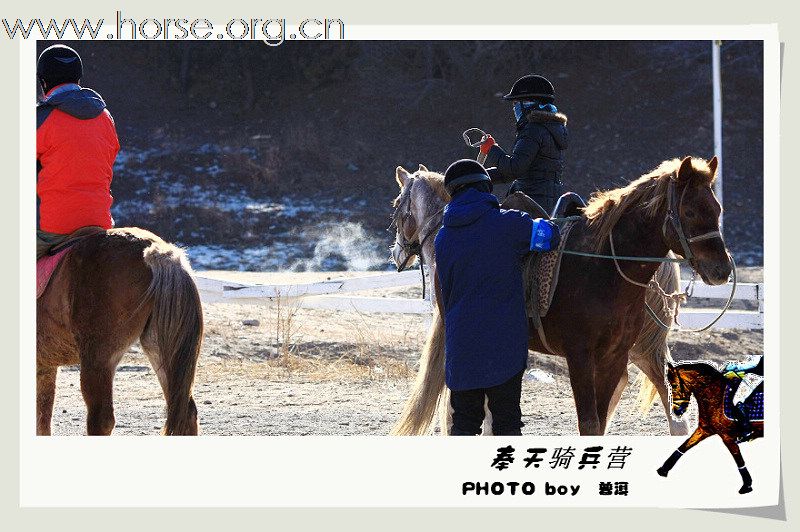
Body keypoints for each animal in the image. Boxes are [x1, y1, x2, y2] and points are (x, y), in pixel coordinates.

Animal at [37, 227, 203, 434]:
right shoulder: (45, 367)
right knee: (186, 412)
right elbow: (43, 419)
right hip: (161, 349)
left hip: (98, 358)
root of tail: (155, 251)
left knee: (101, 419)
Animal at [390, 156, 732, 434]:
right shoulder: (589, 356)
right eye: (690, 210)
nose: (722, 269)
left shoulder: (595, 356)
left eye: (716, 210)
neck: (603, 264)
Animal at [656, 362, 764, 494]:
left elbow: (739, 460)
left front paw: (747, 485)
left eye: (675, 385)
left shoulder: (727, 437)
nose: (677, 411)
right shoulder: (704, 429)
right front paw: (663, 469)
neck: (716, 395)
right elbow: (684, 447)